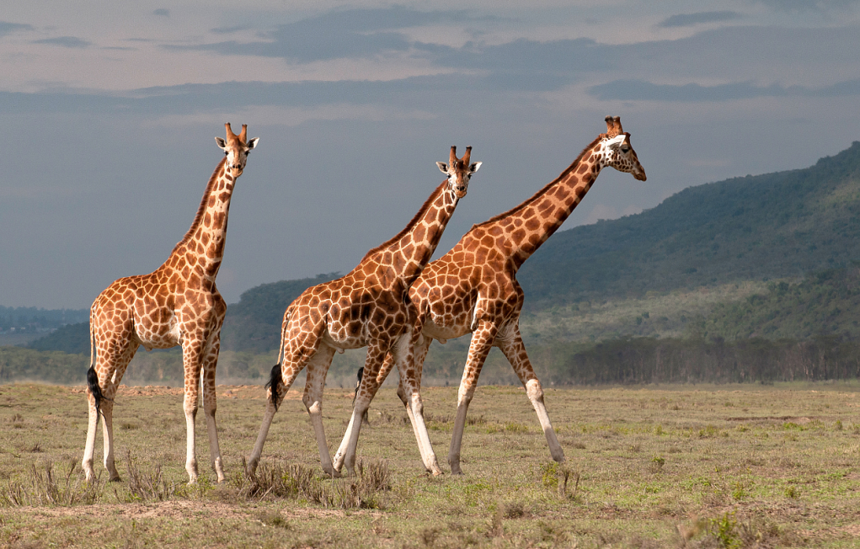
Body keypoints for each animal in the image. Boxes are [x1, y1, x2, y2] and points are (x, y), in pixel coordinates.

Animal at [83, 123, 258, 484]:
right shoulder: (191, 338)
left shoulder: (213, 341)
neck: (208, 269)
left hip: (127, 345)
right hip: (109, 343)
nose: (236, 168)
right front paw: (192, 472)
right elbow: (190, 403)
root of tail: (93, 307)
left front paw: (220, 472)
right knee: (94, 393)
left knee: (108, 395)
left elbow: (211, 404)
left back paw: (113, 470)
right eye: (225, 151)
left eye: (246, 149)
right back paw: (89, 470)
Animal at [245, 146, 480, 476]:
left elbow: (414, 399)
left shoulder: (401, 340)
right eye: (448, 174)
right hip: (298, 344)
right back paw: (253, 464)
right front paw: (352, 463)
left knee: (311, 399)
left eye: (469, 173)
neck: (403, 274)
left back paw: (328, 468)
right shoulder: (379, 339)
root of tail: (290, 310)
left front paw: (433, 466)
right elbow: (362, 398)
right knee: (274, 393)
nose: (459, 189)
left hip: (322, 348)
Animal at [342, 114, 644, 470]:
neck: (514, 250)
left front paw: (559, 456)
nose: (643, 172)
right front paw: (455, 461)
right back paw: (344, 461)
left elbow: (535, 387)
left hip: (420, 337)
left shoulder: (509, 327)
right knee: (370, 386)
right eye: (625, 148)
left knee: (389, 389)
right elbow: (466, 389)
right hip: (397, 337)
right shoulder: (486, 322)